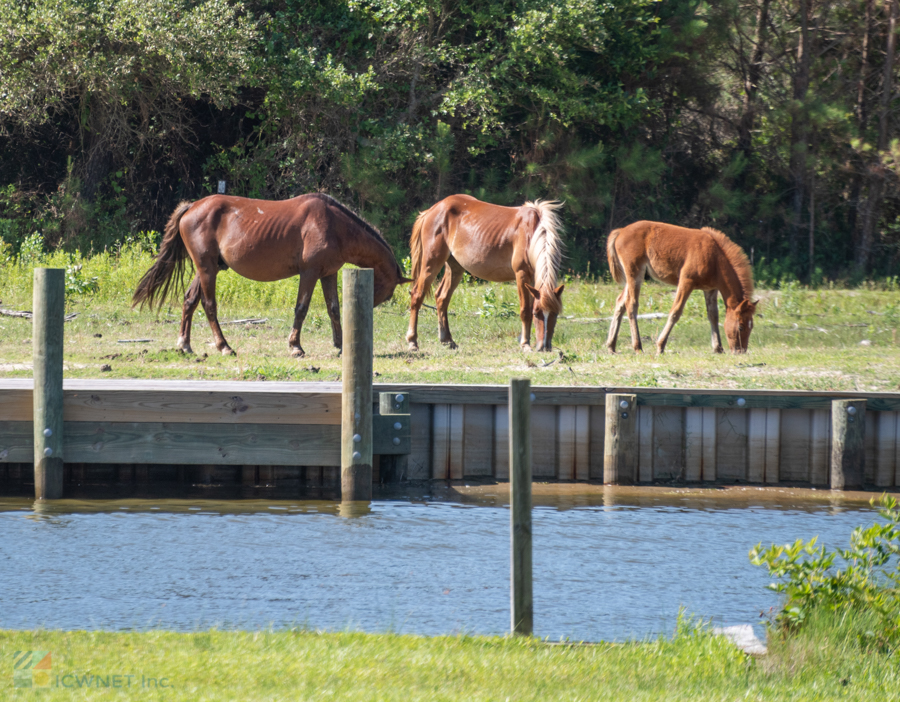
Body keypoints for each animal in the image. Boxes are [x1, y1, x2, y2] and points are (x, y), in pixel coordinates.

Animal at [132, 192, 410, 358]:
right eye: (389, 292)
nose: (368, 309)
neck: (334, 225)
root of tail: (192, 206)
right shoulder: (309, 273)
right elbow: (301, 308)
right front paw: (295, 346)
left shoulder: (327, 274)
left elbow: (333, 309)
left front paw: (341, 346)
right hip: (207, 270)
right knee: (209, 305)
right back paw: (224, 346)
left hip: (206, 270)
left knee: (189, 301)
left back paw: (184, 344)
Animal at [406, 194, 564, 352]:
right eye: (537, 313)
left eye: (556, 313)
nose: (545, 347)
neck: (532, 232)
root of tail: (432, 210)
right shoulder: (522, 274)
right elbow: (525, 310)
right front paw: (525, 344)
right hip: (431, 262)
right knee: (417, 295)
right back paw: (412, 341)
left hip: (455, 267)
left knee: (442, 298)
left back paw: (447, 340)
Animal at [604, 221, 760, 354]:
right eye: (740, 326)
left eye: (751, 326)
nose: (741, 351)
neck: (715, 259)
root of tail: (621, 231)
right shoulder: (686, 282)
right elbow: (675, 312)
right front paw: (660, 346)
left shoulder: (710, 289)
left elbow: (713, 315)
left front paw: (718, 348)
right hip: (635, 273)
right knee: (631, 304)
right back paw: (637, 347)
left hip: (633, 277)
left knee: (620, 302)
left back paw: (611, 346)